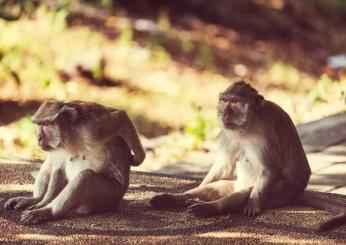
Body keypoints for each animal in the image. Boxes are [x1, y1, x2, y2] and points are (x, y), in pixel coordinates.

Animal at [3, 99, 145, 224]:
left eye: (46, 125)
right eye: (38, 124)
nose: (38, 138)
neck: (71, 135)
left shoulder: (93, 125)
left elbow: (121, 117)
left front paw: (138, 158)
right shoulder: (58, 148)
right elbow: (59, 168)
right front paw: (43, 202)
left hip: (109, 197)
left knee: (85, 177)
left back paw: (48, 212)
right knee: (51, 163)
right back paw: (36, 200)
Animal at [151, 81, 346, 232]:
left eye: (235, 102)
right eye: (224, 101)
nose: (225, 113)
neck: (248, 125)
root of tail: (296, 192)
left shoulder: (267, 132)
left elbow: (270, 168)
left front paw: (252, 205)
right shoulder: (228, 133)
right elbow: (225, 165)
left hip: (281, 192)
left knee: (244, 192)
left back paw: (210, 208)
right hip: (237, 184)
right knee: (219, 186)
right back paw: (178, 200)